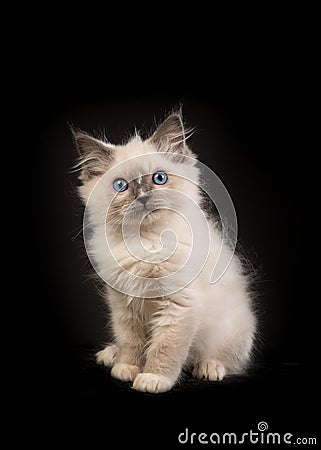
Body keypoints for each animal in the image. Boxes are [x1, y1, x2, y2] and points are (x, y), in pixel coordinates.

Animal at [72, 112, 255, 394]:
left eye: (159, 179)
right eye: (121, 186)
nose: (143, 196)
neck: (145, 242)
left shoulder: (179, 304)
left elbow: (164, 348)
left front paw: (152, 378)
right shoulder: (122, 303)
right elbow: (131, 341)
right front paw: (127, 367)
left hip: (233, 327)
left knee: (229, 360)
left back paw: (209, 367)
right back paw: (111, 355)